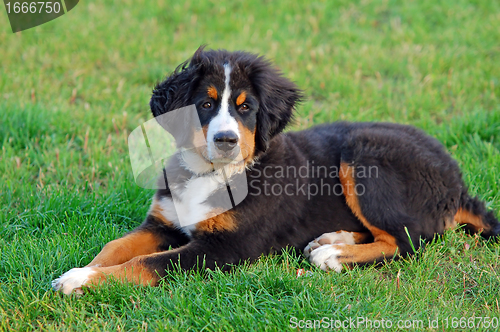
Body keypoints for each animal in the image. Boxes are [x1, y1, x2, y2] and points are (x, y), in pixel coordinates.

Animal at [51, 46, 500, 294]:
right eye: (205, 104)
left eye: (246, 107)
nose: (226, 140)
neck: (212, 173)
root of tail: (457, 180)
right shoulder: (162, 222)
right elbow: (116, 247)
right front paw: (80, 270)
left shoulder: (226, 248)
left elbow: (145, 263)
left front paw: (81, 282)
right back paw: (332, 239)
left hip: (362, 157)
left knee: (410, 240)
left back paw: (333, 255)